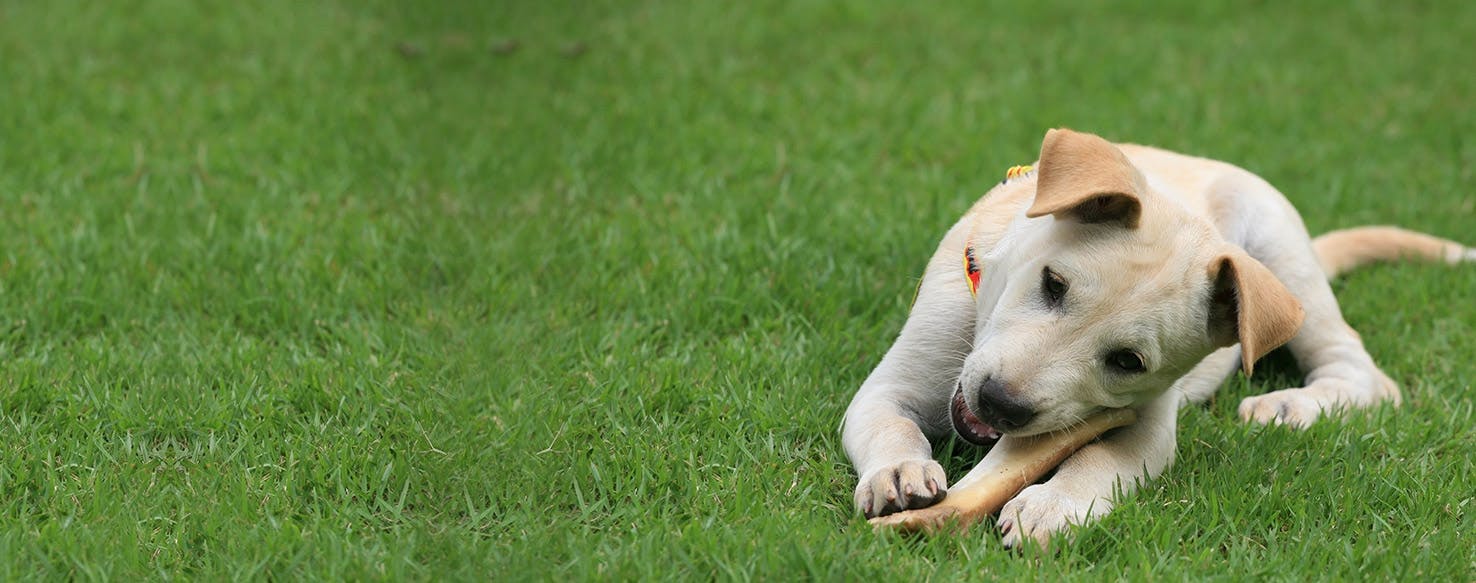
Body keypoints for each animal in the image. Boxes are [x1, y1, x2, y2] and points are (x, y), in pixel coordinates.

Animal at [844, 127, 1476, 549]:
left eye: (1128, 361)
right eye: (1053, 283)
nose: (999, 404)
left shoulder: (1149, 424)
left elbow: (1099, 459)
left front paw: (1051, 505)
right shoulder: (895, 382)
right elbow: (888, 420)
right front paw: (900, 475)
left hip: (1284, 255)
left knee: (1365, 372)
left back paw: (1288, 407)